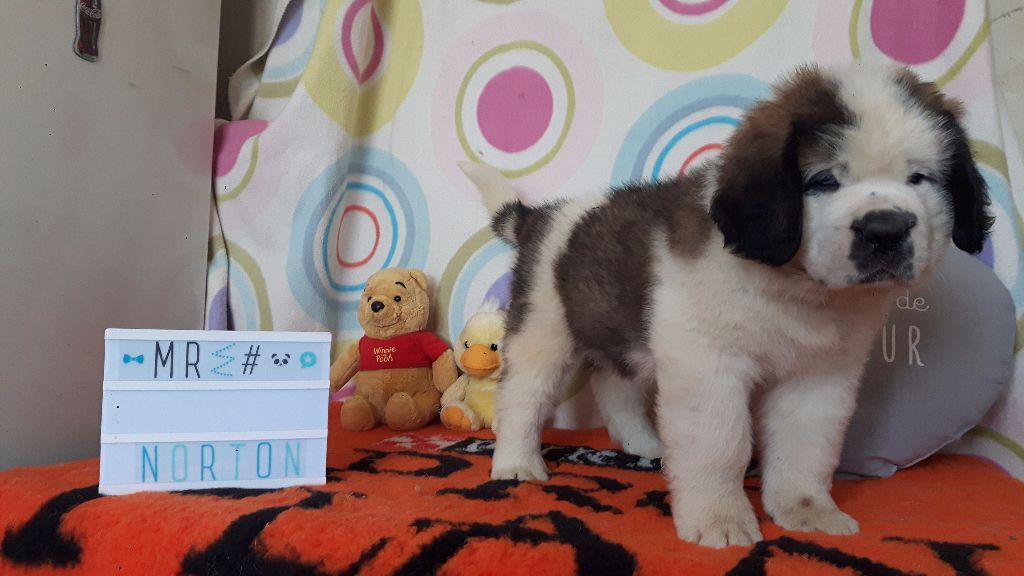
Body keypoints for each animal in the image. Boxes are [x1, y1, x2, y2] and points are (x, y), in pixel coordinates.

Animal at [459, 63, 992, 548]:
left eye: (920, 178)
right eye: (823, 181)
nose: (886, 230)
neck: (794, 288)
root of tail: (539, 218)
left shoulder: (819, 376)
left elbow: (806, 445)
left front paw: (807, 509)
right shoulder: (708, 366)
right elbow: (720, 444)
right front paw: (720, 519)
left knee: (616, 388)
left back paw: (646, 444)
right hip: (543, 328)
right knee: (523, 397)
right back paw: (517, 462)